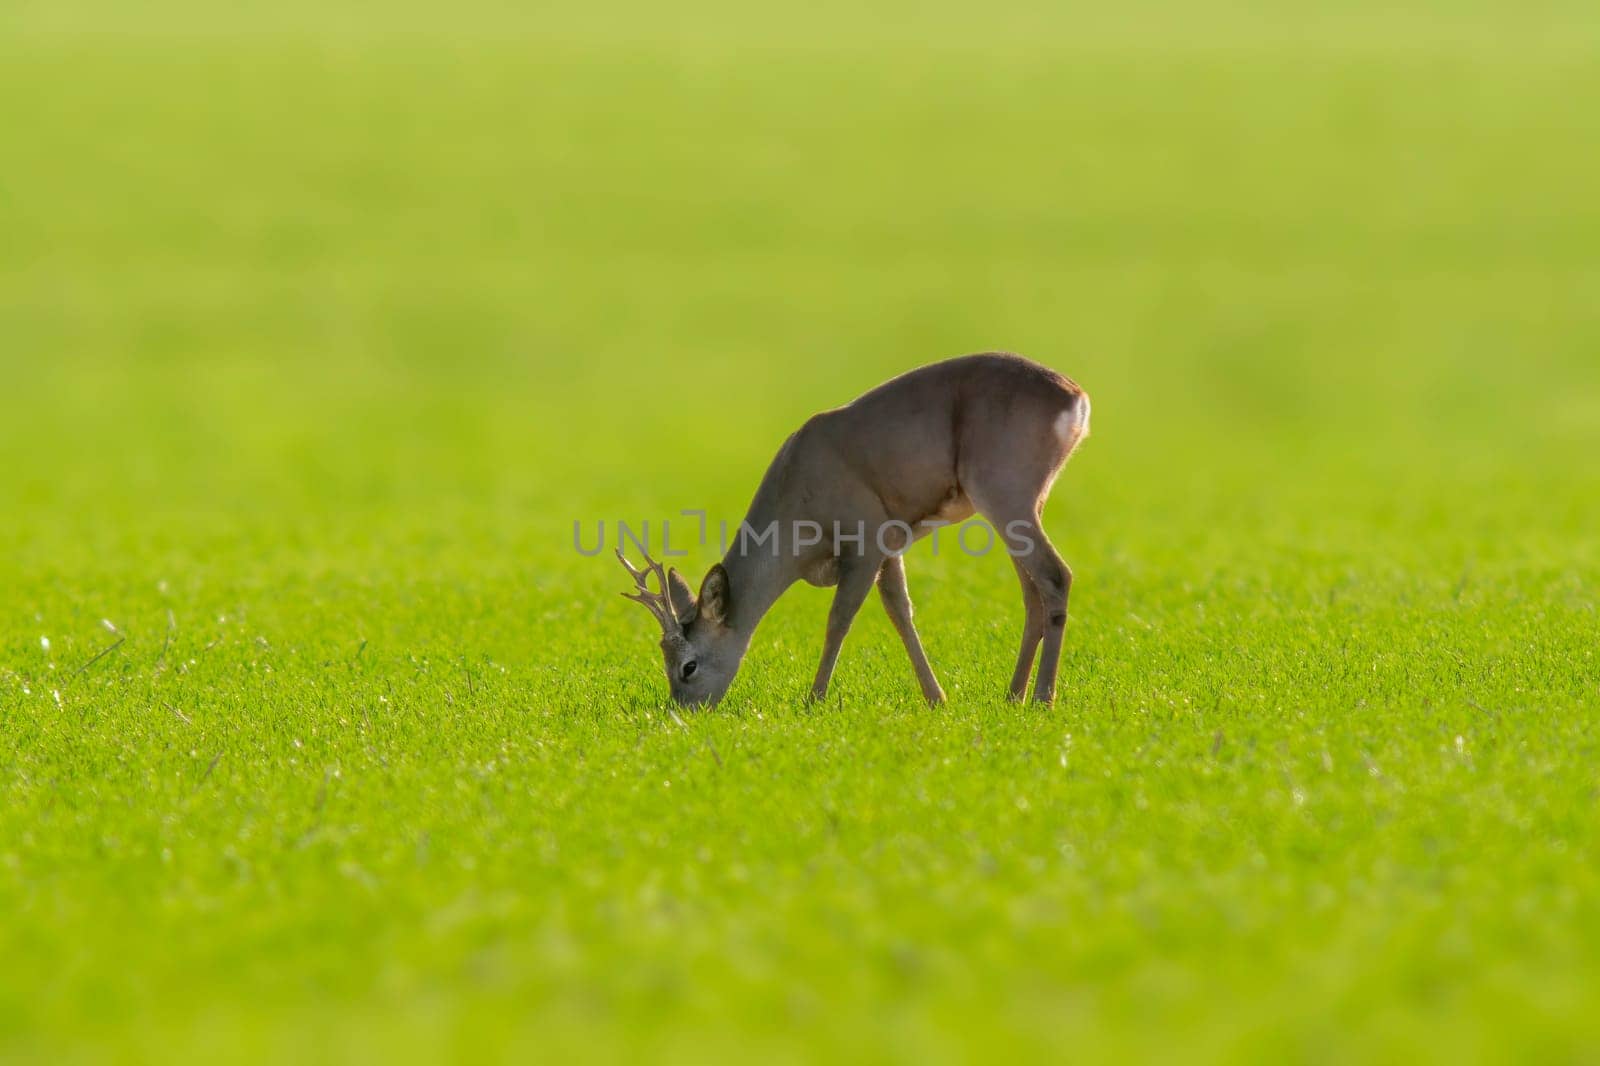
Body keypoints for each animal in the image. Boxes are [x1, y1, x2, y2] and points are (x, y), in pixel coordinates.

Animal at [611, 348, 1088, 710]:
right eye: (663, 656)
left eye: (688, 665)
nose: (683, 710)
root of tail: (1076, 397)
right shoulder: (891, 544)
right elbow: (900, 611)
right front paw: (936, 698)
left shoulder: (866, 536)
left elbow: (839, 618)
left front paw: (814, 699)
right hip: (1022, 504)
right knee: (1032, 593)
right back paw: (1013, 694)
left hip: (1004, 491)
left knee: (1055, 575)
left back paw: (1043, 698)